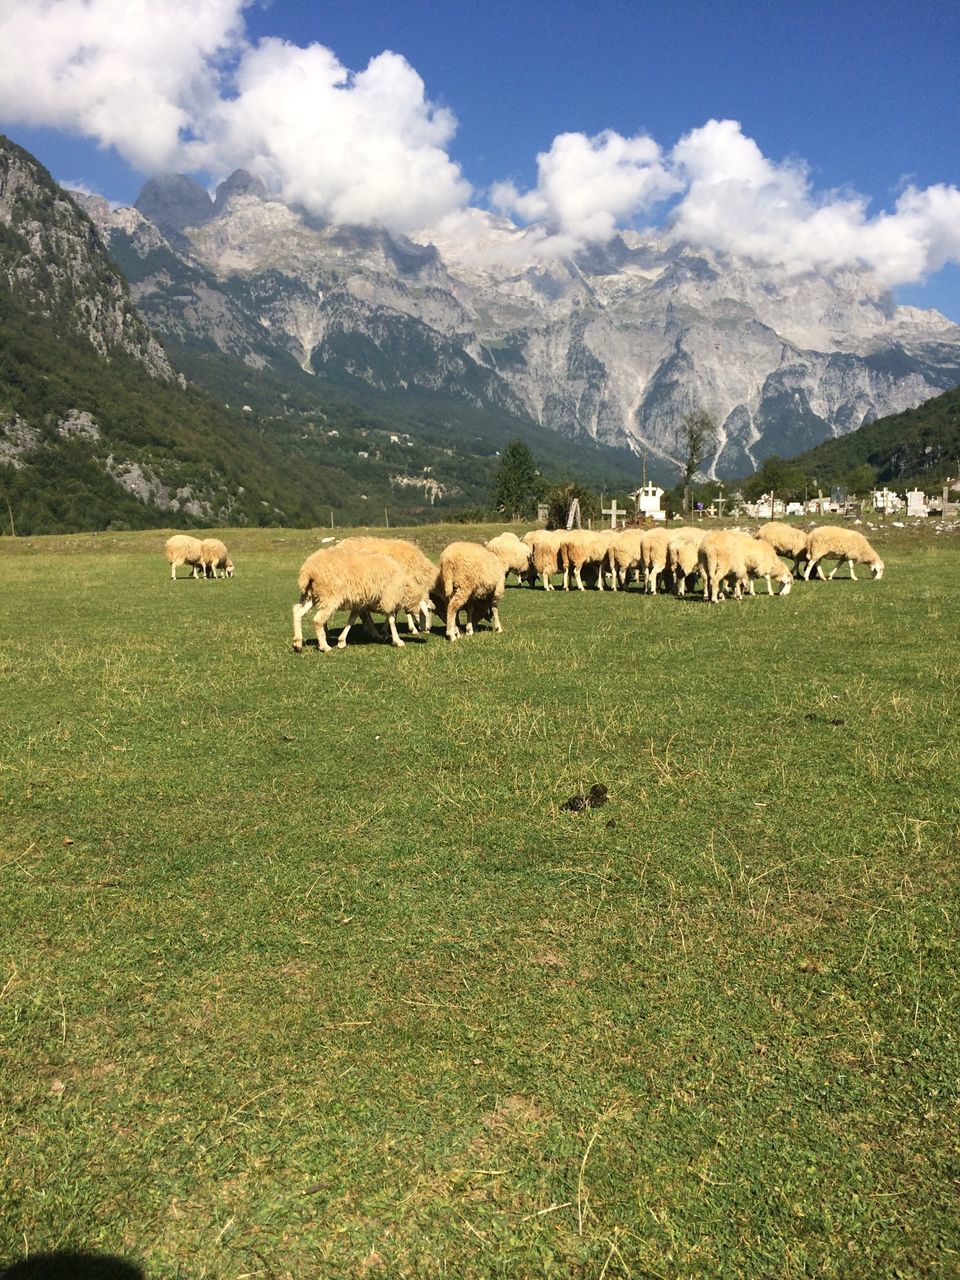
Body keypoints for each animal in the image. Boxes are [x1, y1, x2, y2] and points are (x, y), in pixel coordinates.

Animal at [291, 545, 430, 655]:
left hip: (310, 595)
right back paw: (324, 647)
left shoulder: (359, 603)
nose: (428, 629)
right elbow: (391, 619)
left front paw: (342, 641)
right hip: (329, 597)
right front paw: (397, 641)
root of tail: (308, 569)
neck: (404, 587)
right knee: (318, 621)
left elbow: (352, 620)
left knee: (297, 611)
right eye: (428, 610)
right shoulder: (388, 597)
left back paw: (297, 643)